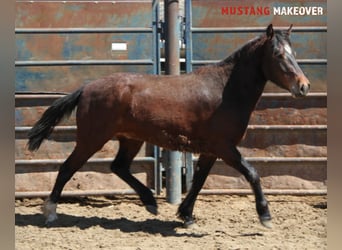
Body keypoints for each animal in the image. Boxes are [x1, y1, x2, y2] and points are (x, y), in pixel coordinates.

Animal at [26, 24, 310, 229]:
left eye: (295, 54)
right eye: (278, 54)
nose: (304, 86)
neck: (224, 91)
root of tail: (86, 88)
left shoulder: (211, 150)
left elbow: (198, 181)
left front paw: (186, 215)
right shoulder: (225, 148)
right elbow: (252, 174)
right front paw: (265, 216)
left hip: (130, 139)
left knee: (119, 167)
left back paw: (150, 202)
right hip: (91, 139)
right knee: (67, 168)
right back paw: (50, 212)